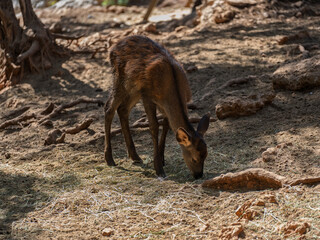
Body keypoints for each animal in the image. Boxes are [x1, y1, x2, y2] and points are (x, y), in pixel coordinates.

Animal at [104, 35, 210, 178]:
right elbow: (154, 126)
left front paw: (162, 158)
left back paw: (135, 156)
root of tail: (113, 47)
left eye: (206, 156)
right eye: (194, 159)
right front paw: (158, 168)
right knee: (109, 108)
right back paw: (109, 159)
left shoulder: (163, 105)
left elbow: (166, 126)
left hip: (134, 88)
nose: (198, 175)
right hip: (120, 78)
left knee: (123, 109)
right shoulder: (148, 96)